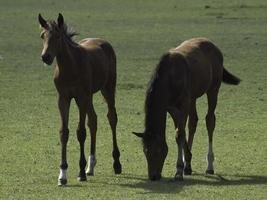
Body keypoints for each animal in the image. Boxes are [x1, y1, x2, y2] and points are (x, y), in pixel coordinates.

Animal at [38, 13, 122, 186]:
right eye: (42, 35)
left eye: (57, 36)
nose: (46, 57)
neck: (71, 66)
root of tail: (102, 41)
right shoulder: (63, 99)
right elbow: (64, 132)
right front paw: (62, 175)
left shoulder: (80, 97)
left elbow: (81, 132)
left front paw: (81, 172)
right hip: (89, 96)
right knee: (93, 120)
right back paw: (91, 166)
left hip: (107, 88)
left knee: (111, 118)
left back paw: (116, 164)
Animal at [133, 37, 242, 181]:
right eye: (145, 151)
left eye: (157, 151)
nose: (153, 176)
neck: (170, 78)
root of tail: (214, 47)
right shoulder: (171, 108)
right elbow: (180, 131)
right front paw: (187, 163)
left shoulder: (183, 104)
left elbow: (179, 134)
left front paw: (179, 170)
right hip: (193, 98)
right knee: (193, 122)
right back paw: (188, 165)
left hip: (213, 89)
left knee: (210, 120)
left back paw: (209, 166)